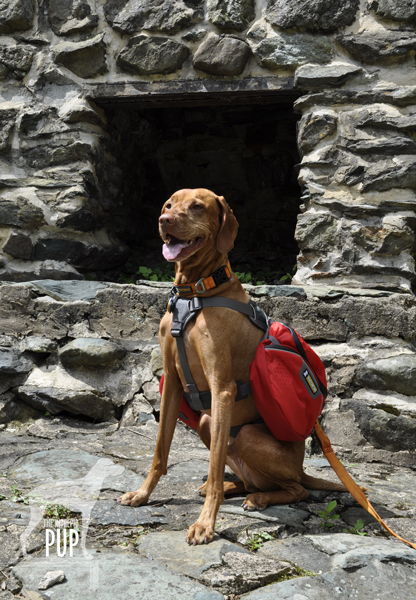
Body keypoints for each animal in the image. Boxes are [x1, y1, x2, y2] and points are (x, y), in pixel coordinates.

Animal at [118, 190, 348, 548]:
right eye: (168, 205)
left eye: (198, 206)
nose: (164, 221)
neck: (194, 293)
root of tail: (300, 467)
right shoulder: (173, 383)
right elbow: (159, 452)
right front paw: (142, 494)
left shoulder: (221, 388)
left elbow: (213, 467)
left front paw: (204, 525)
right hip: (207, 422)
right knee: (253, 481)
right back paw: (235, 488)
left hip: (249, 436)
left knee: (295, 489)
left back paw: (258, 499)